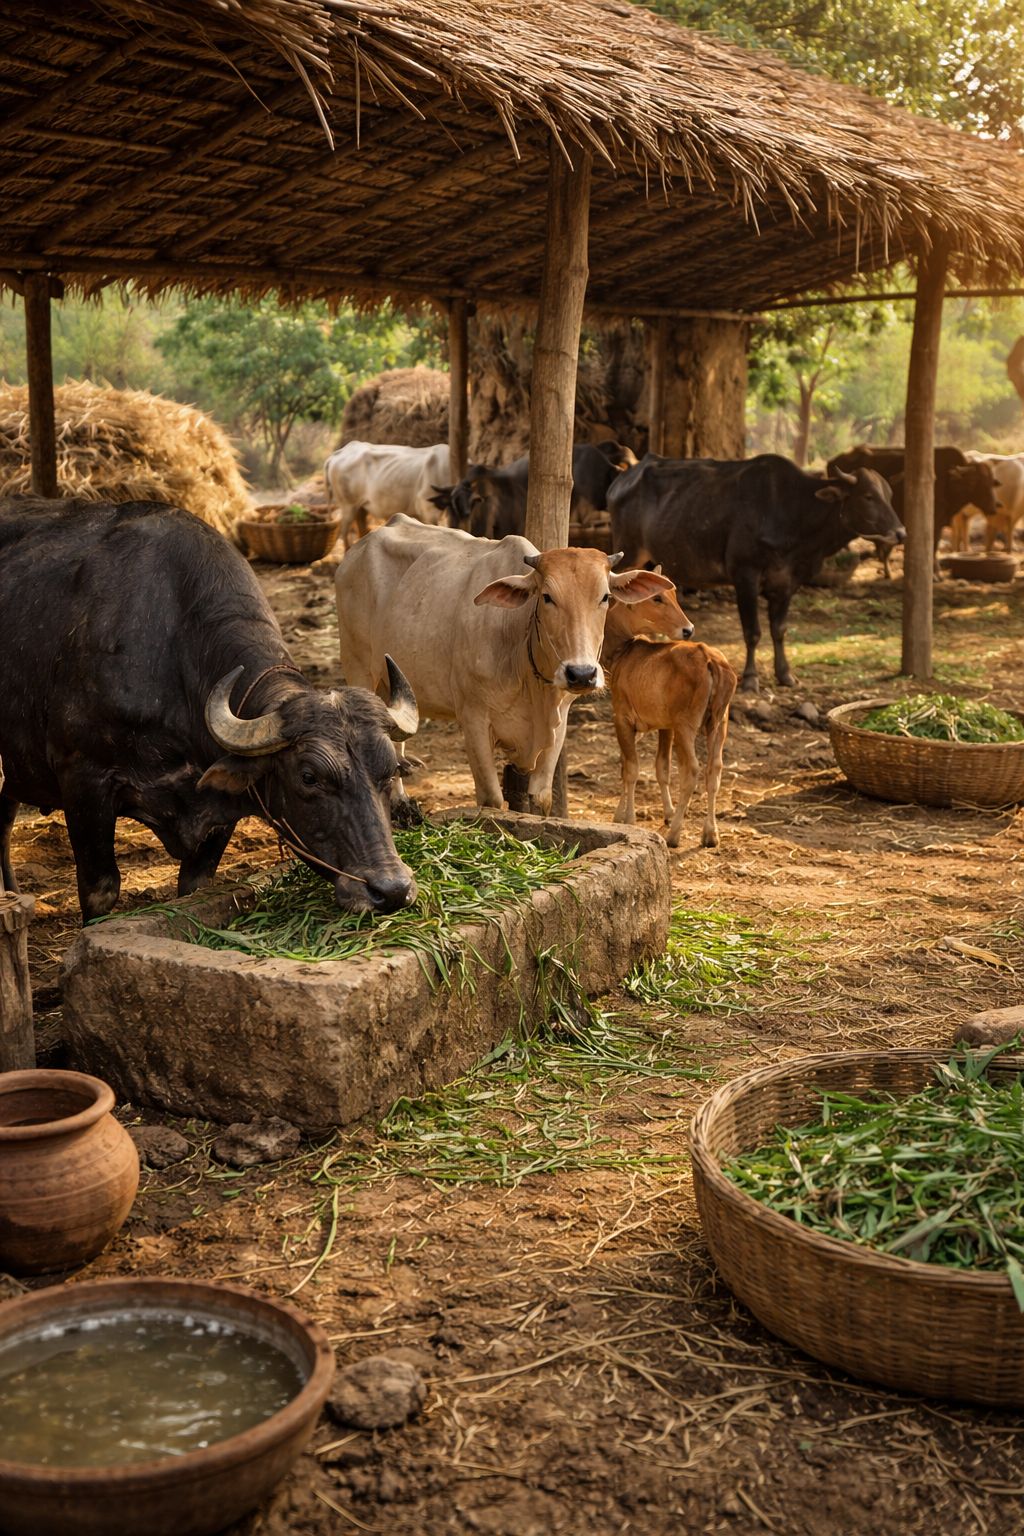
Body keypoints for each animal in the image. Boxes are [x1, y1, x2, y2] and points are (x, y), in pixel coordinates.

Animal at [0, 500, 420, 921]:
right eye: (309, 776)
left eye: (390, 771)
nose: (391, 889)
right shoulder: (85, 783)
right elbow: (100, 890)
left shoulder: (219, 812)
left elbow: (195, 885)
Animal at [335, 514, 673, 814]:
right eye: (547, 596)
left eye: (605, 597)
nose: (581, 674)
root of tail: (358, 548)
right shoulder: (473, 718)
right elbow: (492, 801)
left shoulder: (559, 722)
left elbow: (541, 800)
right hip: (358, 667)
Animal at [602, 579, 736, 850]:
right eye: (658, 598)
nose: (688, 629)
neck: (623, 654)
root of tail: (710, 660)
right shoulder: (665, 725)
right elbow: (660, 767)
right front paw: (665, 812)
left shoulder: (622, 718)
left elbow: (630, 769)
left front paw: (628, 819)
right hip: (719, 723)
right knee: (714, 769)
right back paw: (710, 834)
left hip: (687, 724)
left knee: (692, 770)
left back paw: (674, 835)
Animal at [607, 453, 904, 692]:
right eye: (868, 496)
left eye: (890, 496)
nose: (900, 532)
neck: (791, 512)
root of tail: (623, 477)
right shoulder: (746, 576)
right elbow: (753, 631)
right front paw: (751, 678)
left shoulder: (787, 581)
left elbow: (779, 629)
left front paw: (785, 674)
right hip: (629, 553)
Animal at [830, 445, 999, 577]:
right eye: (977, 481)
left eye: (991, 482)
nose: (993, 507)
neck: (948, 481)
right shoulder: (934, 523)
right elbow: (932, 548)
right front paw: (935, 574)